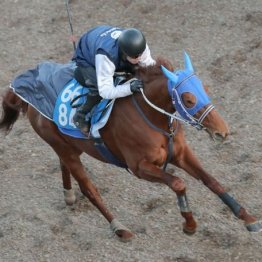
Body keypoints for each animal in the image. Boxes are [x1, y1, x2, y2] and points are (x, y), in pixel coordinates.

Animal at [1, 52, 260, 243]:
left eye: (203, 88)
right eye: (188, 100)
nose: (222, 131)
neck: (150, 116)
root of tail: (23, 91)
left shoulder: (181, 153)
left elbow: (211, 181)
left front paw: (247, 217)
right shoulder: (138, 167)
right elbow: (178, 183)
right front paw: (189, 224)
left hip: (68, 145)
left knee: (63, 163)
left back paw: (69, 195)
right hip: (64, 148)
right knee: (88, 188)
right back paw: (119, 228)